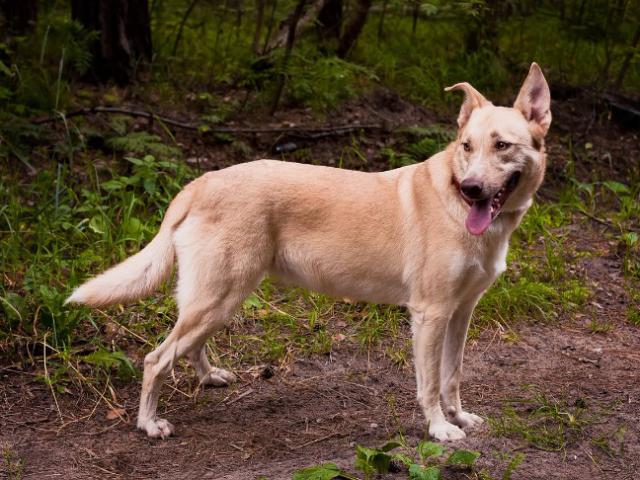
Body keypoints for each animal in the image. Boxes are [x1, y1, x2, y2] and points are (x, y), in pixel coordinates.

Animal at [67, 63, 552, 442]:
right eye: (466, 146)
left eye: (502, 145)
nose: (470, 189)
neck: (462, 210)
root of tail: (202, 180)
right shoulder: (430, 314)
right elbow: (430, 384)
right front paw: (438, 428)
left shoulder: (460, 313)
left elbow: (452, 376)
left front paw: (459, 417)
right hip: (219, 296)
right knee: (155, 360)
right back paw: (149, 424)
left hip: (221, 299)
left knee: (186, 346)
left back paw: (208, 377)